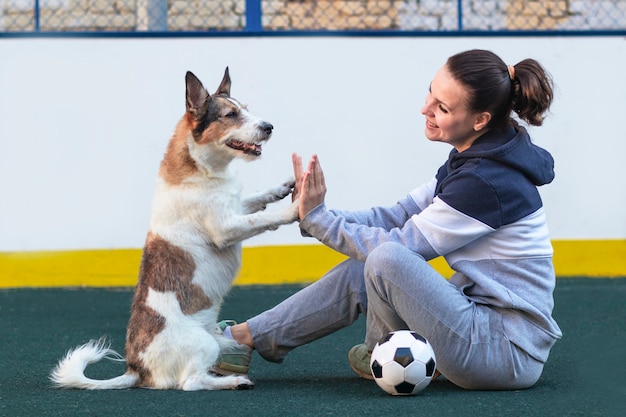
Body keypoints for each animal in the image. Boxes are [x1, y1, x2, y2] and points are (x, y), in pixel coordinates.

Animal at [50, 67, 298, 390]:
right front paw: (297, 208)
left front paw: (284, 187)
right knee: (192, 382)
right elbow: (266, 220)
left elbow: (258, 199)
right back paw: (234, 381)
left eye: (245, 108)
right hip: (204, 345)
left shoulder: (236, 208)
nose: (269, 127)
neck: (203, 168)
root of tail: (136, 368)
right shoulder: (226, 228)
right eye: (230, 115)